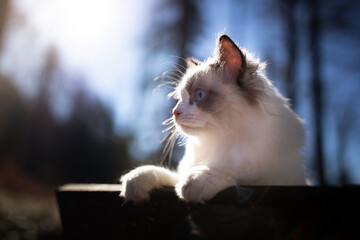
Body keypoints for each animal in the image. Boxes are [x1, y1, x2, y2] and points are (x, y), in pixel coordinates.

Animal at [119, 33, 306, 202]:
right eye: (180, 98)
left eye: (200, 95)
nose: (174, 112)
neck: (217, 143)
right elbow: (166, 174)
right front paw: (135, 180)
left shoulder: (266, 177)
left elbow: (229, 172)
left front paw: (195, 181)